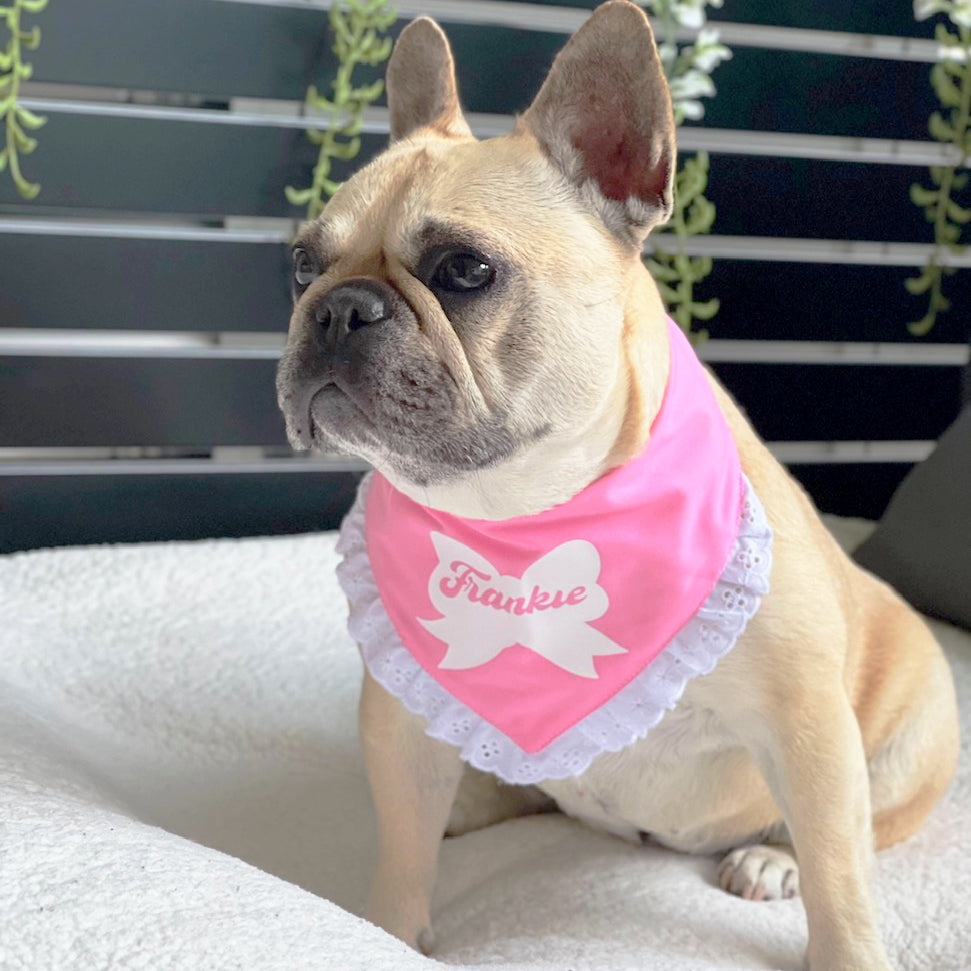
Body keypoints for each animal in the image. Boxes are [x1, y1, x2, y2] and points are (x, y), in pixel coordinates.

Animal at [278, 3, 960, 968]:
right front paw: (386, 929)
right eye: (303, 265)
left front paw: (846, 950)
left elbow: (840, 873)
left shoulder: (807, 726)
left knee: (851, 831)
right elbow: (404, 840)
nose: (337, 307)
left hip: (899, 745)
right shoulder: (401, 718)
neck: (524, 506)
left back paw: (770, 857)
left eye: (463, 271)